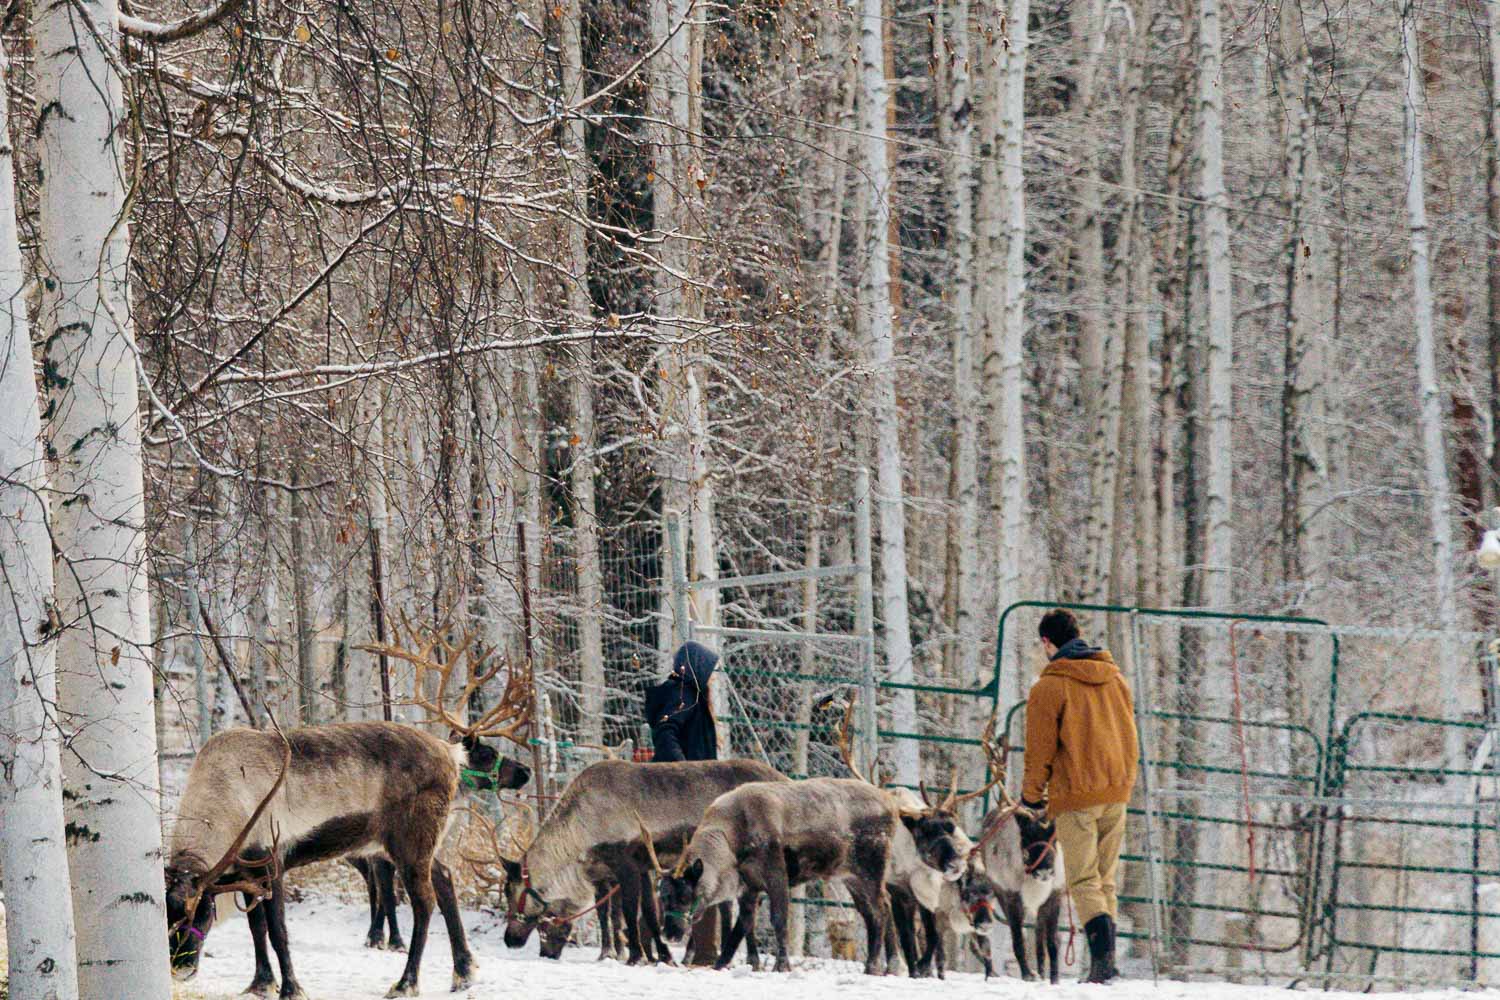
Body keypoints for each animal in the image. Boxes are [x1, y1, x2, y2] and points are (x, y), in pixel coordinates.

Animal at [164, 619, 532, 999]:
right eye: (166, 914)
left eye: (201, 910)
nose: (180, 968)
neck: (226, 799)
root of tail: (451, 754)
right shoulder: (245, 874)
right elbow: (257, 930)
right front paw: (261, 983)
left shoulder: (270, 860)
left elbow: (278, 931)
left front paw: (291, 988)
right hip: (411, 843)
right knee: (445, 879)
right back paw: (463, 972)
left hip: (411, 841)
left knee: (424, 901)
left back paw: (406, 982)